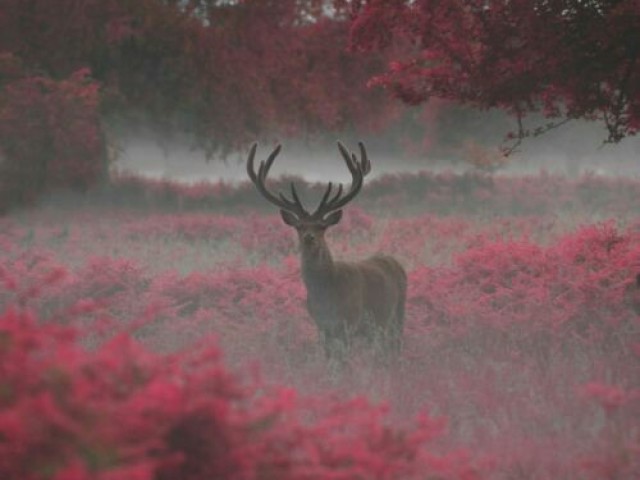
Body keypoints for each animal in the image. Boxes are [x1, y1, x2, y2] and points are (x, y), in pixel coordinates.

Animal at [248, 141, 408, 362]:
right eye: (299, 226)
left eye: (321, 226)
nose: (309, 238)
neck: (326, 294)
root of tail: (395, 262)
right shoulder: (322, 326)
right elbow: (329, 359)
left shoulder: (350, 321)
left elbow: (343, 362)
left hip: (397, 313)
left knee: (394, 344)